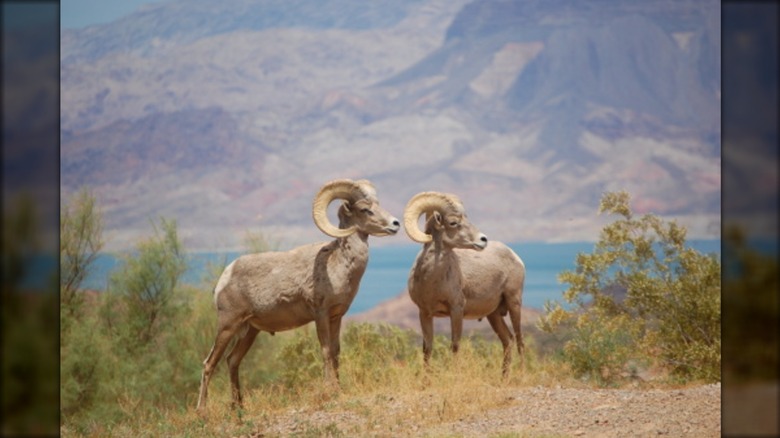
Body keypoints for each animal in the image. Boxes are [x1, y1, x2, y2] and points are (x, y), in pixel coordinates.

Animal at [198, 179, 400, 410]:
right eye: (365, 209)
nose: (395, 224)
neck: (338, 263)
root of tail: (224, 277)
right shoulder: (320, 314)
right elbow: (326, 351)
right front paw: (329, 391)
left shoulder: (336, 316)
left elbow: (336, 351)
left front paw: (339, 389)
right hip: (227, 326)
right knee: (209, 363)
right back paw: (202, 411)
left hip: (250, 330)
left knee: (232, 360)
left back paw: (239, 407)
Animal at [406, 192, 528, 376]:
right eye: (453, 222)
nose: (483, 240)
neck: (432, 282)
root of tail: (515, 257)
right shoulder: (425, 313)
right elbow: (427, 349)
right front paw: (425, 381)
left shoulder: (456, 309)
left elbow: (455, 345)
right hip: (494, 315)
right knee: (508, 340)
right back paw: (503, 378)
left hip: (514, 303)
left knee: (520, 340)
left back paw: (519, 376)